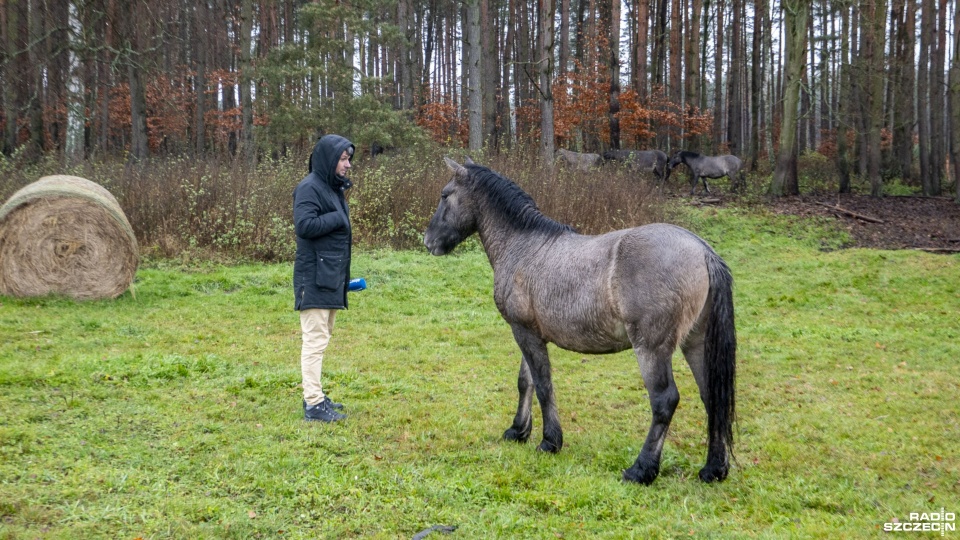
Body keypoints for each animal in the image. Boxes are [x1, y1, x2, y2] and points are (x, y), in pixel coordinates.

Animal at [424, 157, 740, 486]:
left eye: (445, 195)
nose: (428, 241)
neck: (523, 245)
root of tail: (702, 250)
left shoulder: (524, 333)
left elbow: (543, 385)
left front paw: (550, 442)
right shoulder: (529, 332)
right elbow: (526, 382)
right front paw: (518, 431)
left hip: (652, 348)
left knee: (665, 401)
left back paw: (641, 469)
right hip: (696, 343)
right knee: (712, 397)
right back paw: (714, 469)